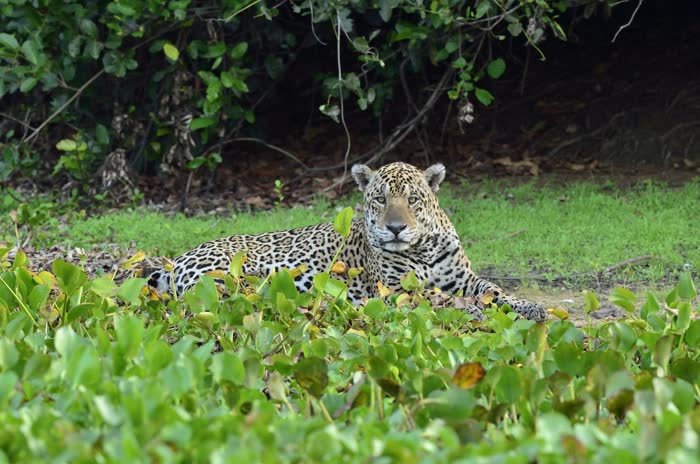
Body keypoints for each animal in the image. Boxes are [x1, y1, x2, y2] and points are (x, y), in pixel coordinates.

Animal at [146, 162, 546, 322]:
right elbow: (434, 297)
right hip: (235, 277)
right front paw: (470, 309)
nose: (396, 228)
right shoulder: (393, 290)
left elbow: (494, 290)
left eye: (412, 199)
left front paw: (530, 307)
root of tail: (176, 260)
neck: (423, 248)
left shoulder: (464, 277)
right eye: (380, 199)